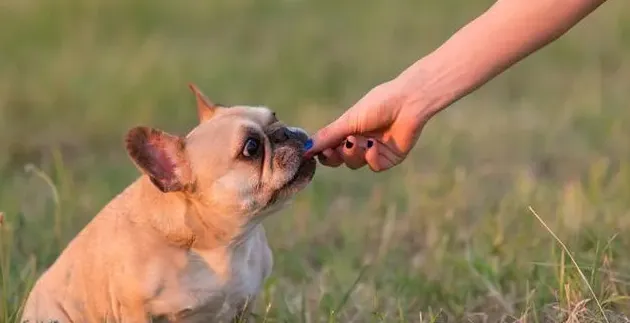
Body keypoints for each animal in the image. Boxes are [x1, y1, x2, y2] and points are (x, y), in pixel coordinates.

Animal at [21, 85, 318, 322]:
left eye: (275, 116)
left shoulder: (244, 304)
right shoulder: (137, 310)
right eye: (251, 147)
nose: (284, 133)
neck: (224, 244)